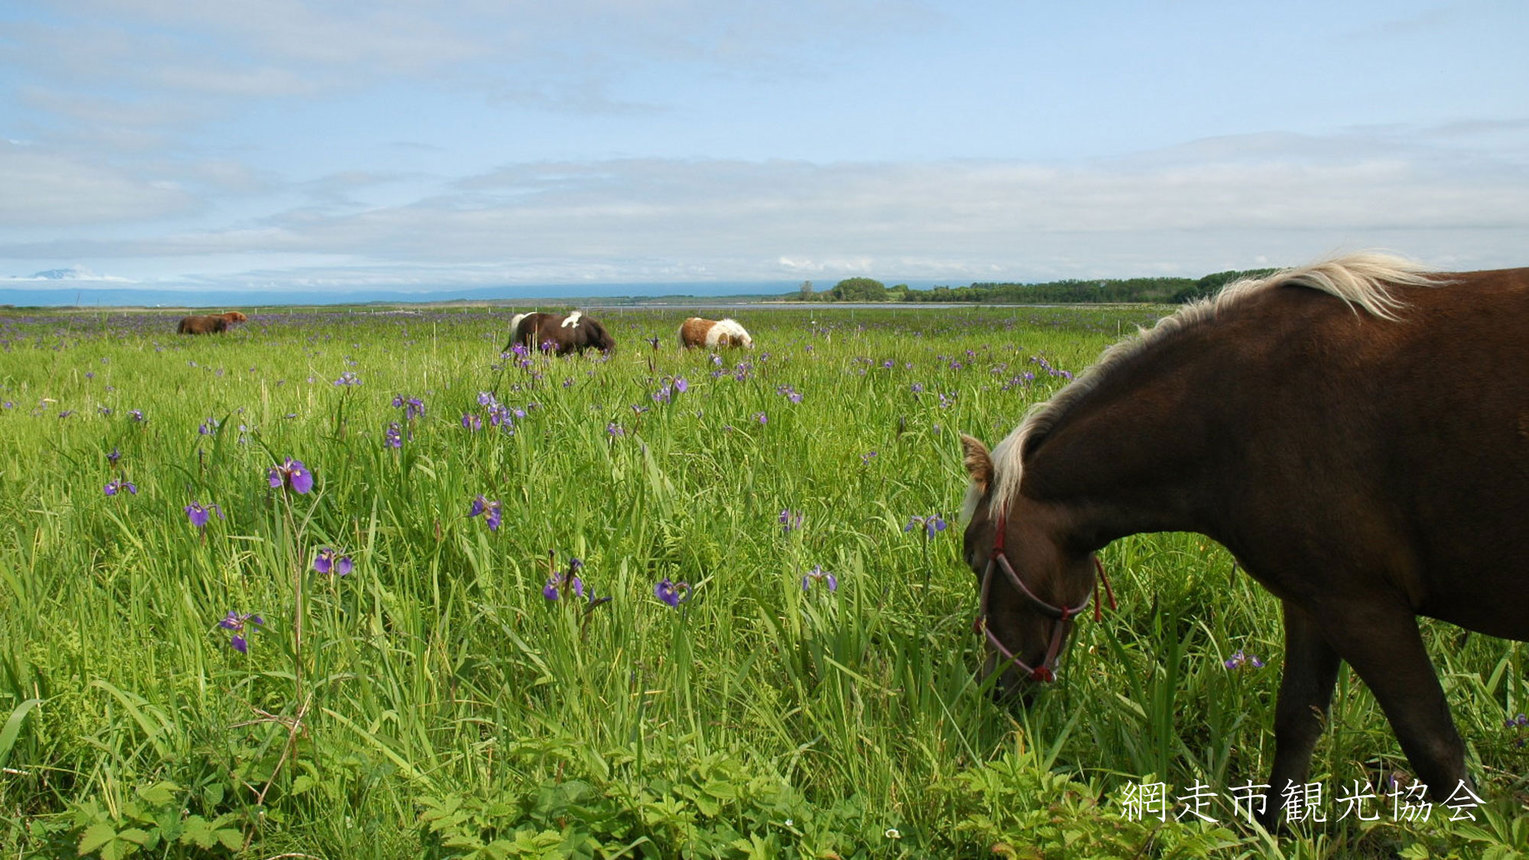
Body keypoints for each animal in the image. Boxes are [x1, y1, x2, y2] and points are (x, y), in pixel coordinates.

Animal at [954, 252, 1529, 826]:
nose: (992, 689)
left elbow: (1434, 750)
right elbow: (1298, 722)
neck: (1229, 411)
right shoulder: (1314, 601)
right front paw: (1274, 828)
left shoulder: (1363, 606)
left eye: (975, 557)